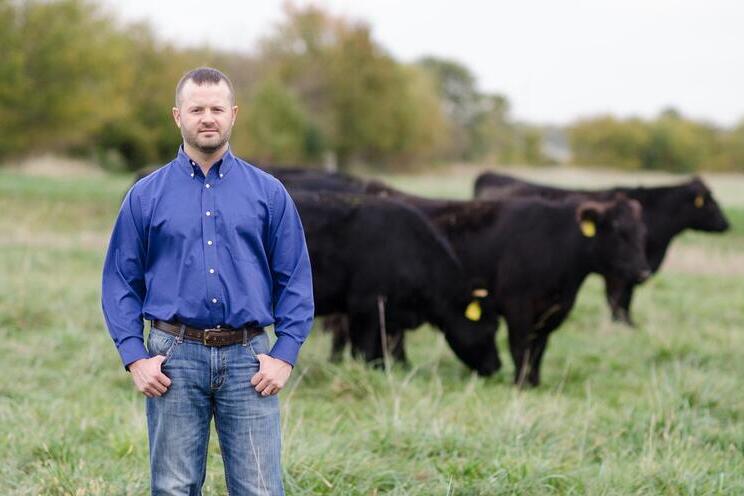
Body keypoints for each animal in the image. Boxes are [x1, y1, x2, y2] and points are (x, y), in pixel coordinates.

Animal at [474, 173, 728, 326]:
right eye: (711, 203)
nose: (727, 224)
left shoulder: (636, 268)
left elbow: (624, 300)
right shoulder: (620, 274)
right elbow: (618, 300)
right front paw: (624, 325)